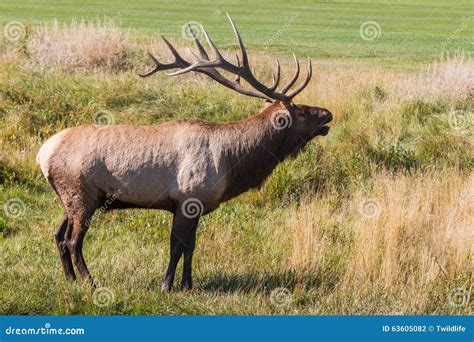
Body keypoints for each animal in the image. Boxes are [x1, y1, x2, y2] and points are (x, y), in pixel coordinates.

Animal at [37, 15, 332, 292]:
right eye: (302, 113)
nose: (328, 113)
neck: (231, 163)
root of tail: (42, 153)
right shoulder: (187, 198)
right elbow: (176, 247)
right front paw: (166, 285)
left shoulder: (197, 204)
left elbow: (191, 247)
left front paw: (188, 284)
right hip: (80, 193)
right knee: (73, 240)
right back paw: (90, 282)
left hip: (73, 196)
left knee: (59, 235)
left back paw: (70, 279)